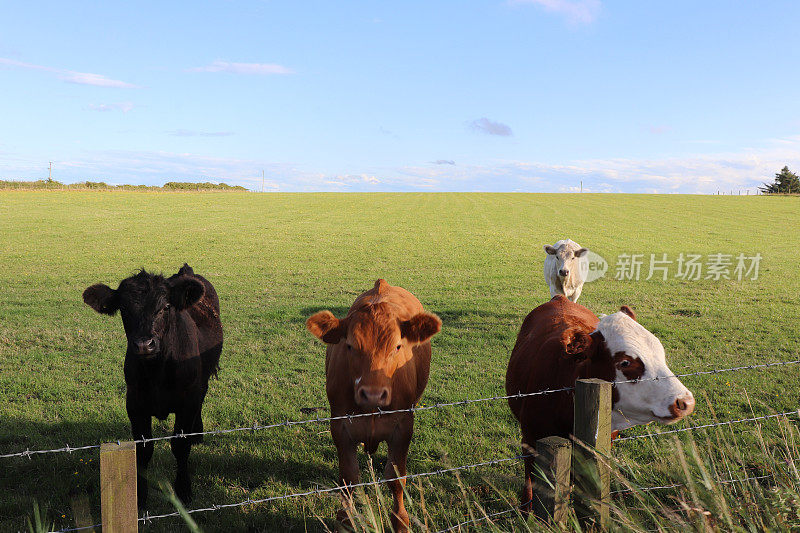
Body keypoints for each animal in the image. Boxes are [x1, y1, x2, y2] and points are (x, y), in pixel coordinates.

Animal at [83, 264, 222, 504]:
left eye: (165, 306)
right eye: (124, 308)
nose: (143, 344)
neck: (157, 370)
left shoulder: (187, 401)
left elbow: (180, 445)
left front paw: (183, 490)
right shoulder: (135, 402)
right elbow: (144, 449)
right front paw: (140, 495)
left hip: (202, 381)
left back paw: (198, 432)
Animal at [308, 280, 444, 528]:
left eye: (398, 346)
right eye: (350, 346)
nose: (373, 394)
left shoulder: (403, 427)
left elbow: (396, 478)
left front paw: (401, 520)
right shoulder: (340, 426)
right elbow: (348, 478)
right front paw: (345, 519)